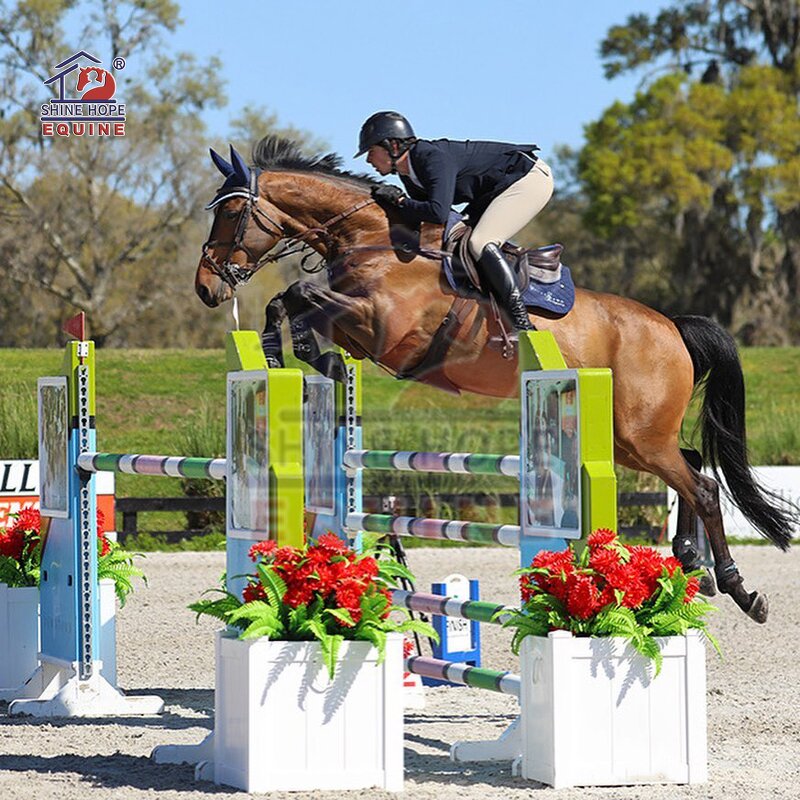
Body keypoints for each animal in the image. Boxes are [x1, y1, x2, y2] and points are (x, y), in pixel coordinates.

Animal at [195, 136, 798, 623]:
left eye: (231, 214)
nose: (206, 287)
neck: (375, 241)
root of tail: (672, 327)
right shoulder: (358, 326)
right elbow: (290, 303)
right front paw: (296, 354)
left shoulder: (385, 326)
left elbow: (300, 293)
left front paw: (291, 350)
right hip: (628, 437)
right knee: (693, 466)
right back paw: (692, 563)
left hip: (639, 434)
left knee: (703, 486)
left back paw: (740, 589)